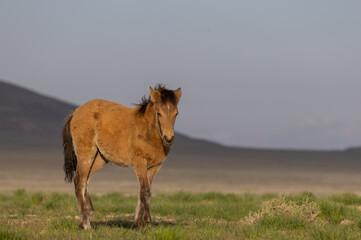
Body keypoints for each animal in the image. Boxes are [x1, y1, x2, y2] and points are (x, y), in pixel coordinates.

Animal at [62, 84, 181, 229]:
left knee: (86, 180)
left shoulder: (155, 166)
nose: (169, 138)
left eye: (176, 114)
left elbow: (143, 191)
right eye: (159, 113)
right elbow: (146, 190)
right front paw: (148, 223)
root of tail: (75, 112)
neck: (149, 132)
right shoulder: (139, 162)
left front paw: (137, 223)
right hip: (86, 154)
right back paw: (86, 224)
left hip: (100, 158)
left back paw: (87, 216)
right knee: (79, 181)